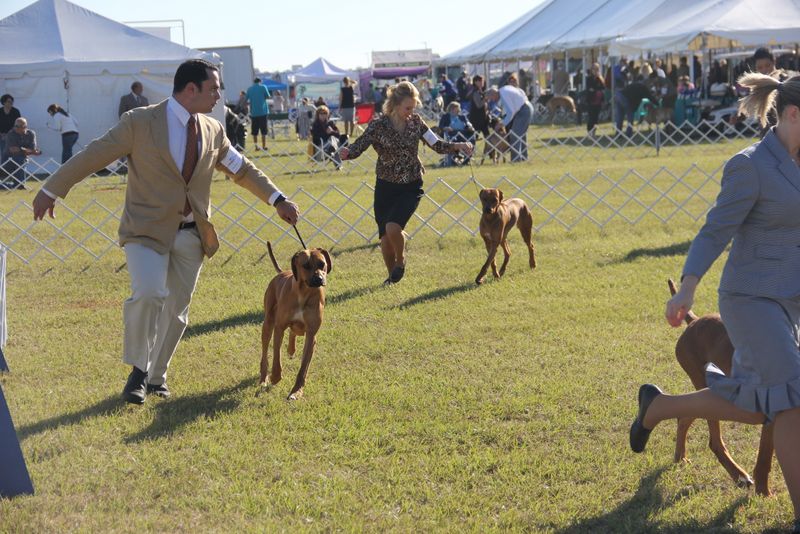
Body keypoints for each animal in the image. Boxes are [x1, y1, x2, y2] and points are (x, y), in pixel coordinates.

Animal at [258, 244, 330, 402]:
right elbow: (276, 357)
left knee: (295, 331)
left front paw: (296, 391)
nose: (319, 279)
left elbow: (304, 368)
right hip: (268, 322)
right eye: (306, 265)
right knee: (265, 351)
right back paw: (263, 377)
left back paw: (291, 350)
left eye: (322, 264)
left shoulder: (311, 334)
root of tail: (282, 272)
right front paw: (275, 377)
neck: (303, 293)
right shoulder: (279, 327)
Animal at [668, 280, 776, 498]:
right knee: (714, 441)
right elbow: (764, 457)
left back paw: (680, 456)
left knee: (683, 417)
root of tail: (694, 321)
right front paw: (764, 493)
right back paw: (739, 475)